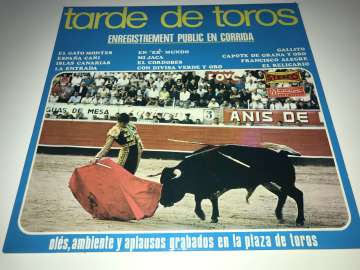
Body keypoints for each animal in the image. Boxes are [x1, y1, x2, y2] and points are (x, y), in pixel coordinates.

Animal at [160, 144, 304, 225]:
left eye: (169, 185)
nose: (161, 201)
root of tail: (282, 154)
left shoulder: (209, 188)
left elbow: (200, 199)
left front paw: (203, 215)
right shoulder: (210, 189)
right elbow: (208, 199)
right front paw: (213, 217)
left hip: (285, 182)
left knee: (298, 195)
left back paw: (299, 220)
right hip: (269, 183)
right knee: (282, 195)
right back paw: (280, 216)